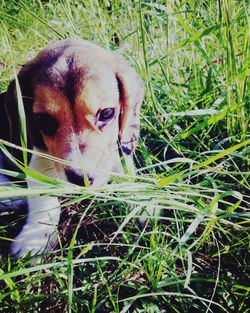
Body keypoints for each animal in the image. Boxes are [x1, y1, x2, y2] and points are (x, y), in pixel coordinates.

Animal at [0, 39, 145, 258]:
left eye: (107, 113)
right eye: (44, 121)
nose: (81, 179)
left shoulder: (117, 146)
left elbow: (124, 169)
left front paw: (142, 203)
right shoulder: (38, 158)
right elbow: (44, 200)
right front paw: (35, 238)